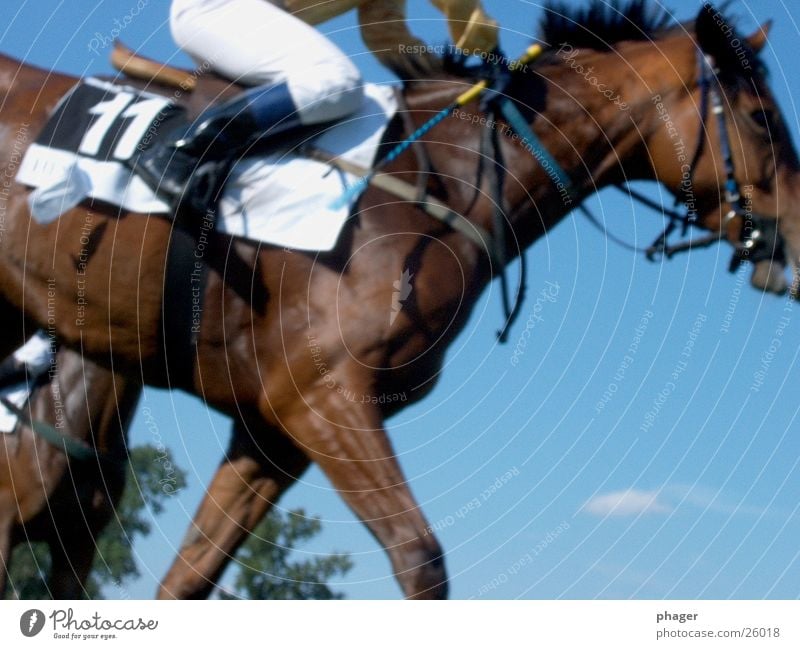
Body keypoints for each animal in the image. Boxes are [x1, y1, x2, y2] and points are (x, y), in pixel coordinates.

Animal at [1, 1, 800, 596]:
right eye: (762, 117)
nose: (793, 238)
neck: (442, 184)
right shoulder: (322, 398)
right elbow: (420, 559)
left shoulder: (272, 432)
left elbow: (188, 578)